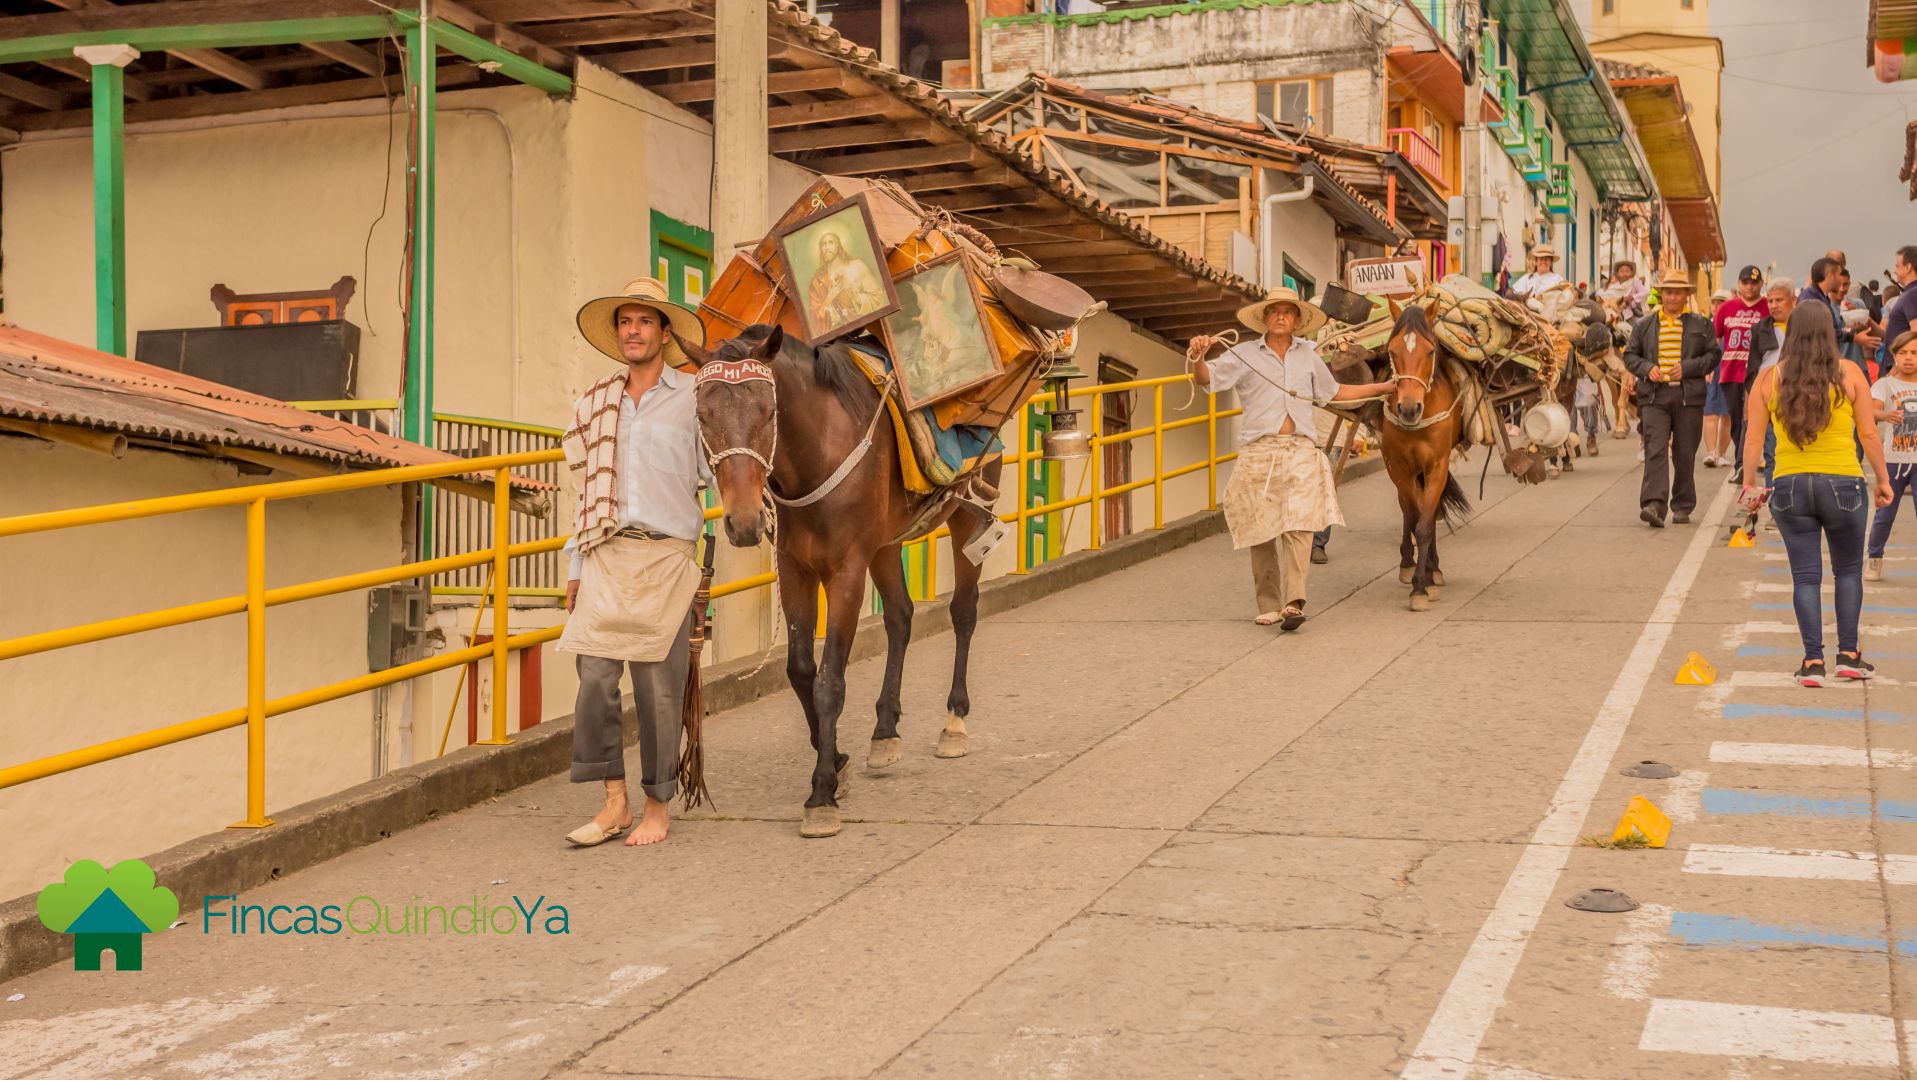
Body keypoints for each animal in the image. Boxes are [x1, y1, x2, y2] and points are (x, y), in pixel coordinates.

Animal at [682, 326, 1004, 840]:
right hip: (887, 543)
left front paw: (821, 794)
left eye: (769, 411)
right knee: (900, 617)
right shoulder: (795, 567)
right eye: (702, 415)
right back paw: (885, 730)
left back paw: (954, 721)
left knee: (964, 610)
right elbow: (800, 670)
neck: (813, 455)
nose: (744, 521)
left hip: (968, 513)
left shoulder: (846, 571)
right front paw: (837, 760)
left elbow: (830, 681)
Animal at [1387, 299, 1472, 613]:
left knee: (1430, 512)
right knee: (1408, 509)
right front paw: (1416, 577)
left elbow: (1425, 523)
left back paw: (1433, 569)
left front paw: (1422, 587)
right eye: (1392, 350)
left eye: (1430, 351)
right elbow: (1413, 519)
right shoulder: (1400, 468)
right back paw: (1410, 563)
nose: (1409, 409)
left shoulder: (1437, 465)